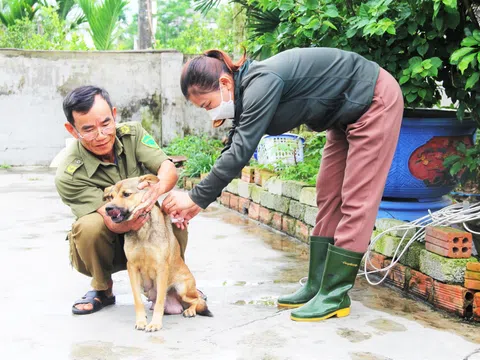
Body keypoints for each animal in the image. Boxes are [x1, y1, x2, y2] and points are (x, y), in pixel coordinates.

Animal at [104, 174, 211, 332]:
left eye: (126, 194)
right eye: (111, 196)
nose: (108, 208)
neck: (142, 230)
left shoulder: (161, 269)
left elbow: (160, 300)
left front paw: (155, 323)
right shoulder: (132, 268)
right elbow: (137, 300)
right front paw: (141, 321)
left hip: (183, 288)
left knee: (197, 299)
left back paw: (190, 310)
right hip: (145, 287)